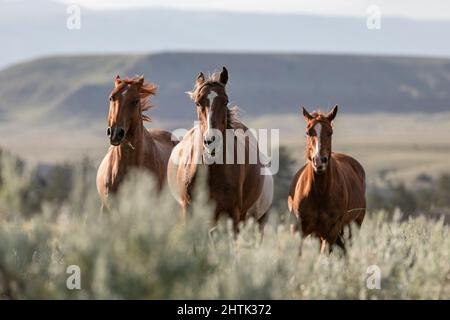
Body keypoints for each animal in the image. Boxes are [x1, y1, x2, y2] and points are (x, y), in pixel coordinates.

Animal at [288, 106, 366, 254]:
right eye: (308, 132)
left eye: (330, 132)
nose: (320, 161)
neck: (319, 194)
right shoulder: (299, 229)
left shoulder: (331, 232)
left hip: (352, 229)